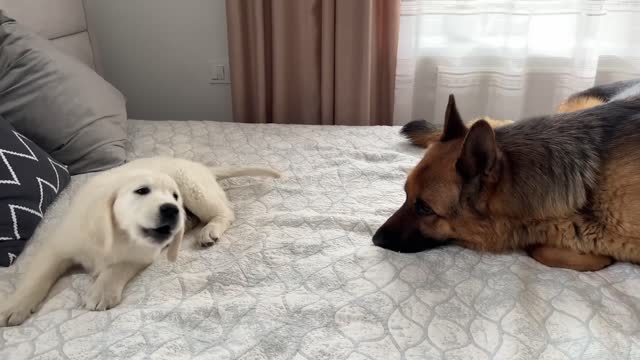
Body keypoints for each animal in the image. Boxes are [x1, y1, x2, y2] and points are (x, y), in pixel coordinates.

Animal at [0, 158, 280, 326]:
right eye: (141, 191)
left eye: (174, 196)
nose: (173, 209)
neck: (116, 234)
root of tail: (200, 166)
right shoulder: (58, 247)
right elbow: (38, 277)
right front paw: (14, 306)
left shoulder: (141, 253)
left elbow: (118, 267)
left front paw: (101, 291)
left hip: (195, 190)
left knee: (225, 212)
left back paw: (209, 231)